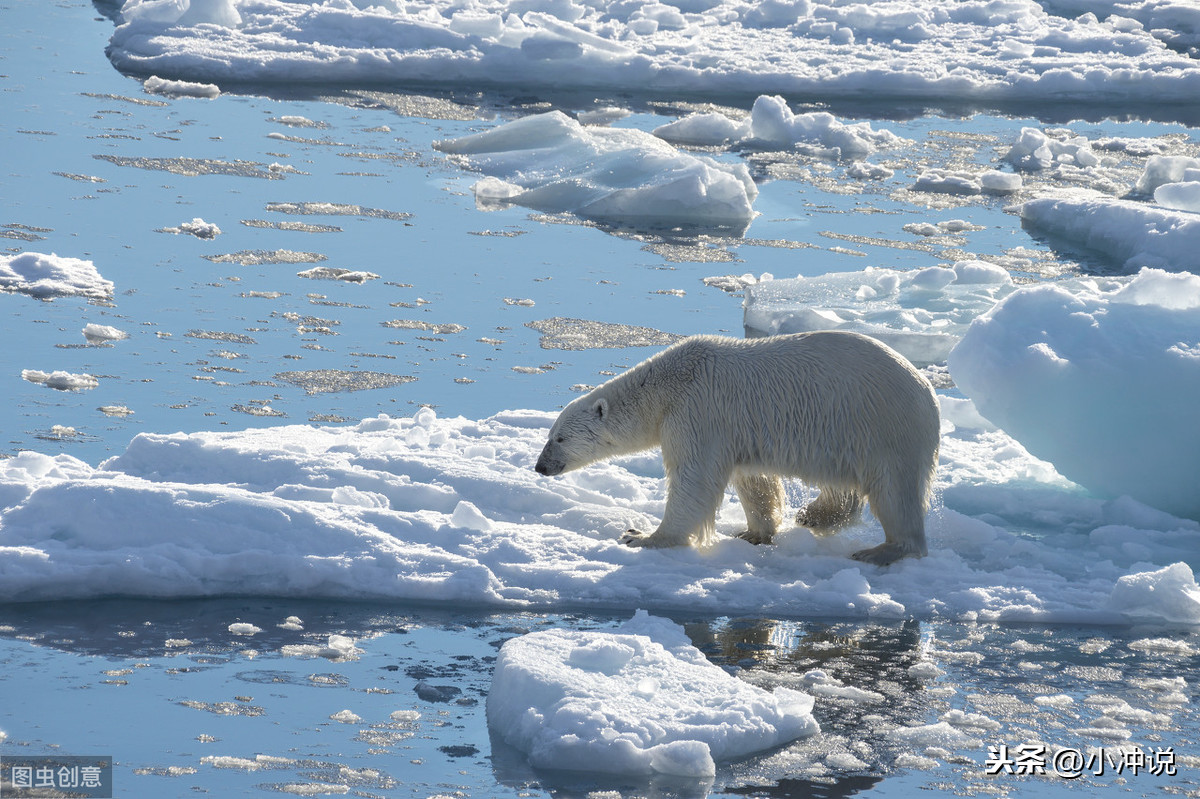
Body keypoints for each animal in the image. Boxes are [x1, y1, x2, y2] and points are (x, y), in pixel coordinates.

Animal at [535, 333, 936, 563]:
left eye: (559, 438)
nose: (541, 466)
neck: (667, 385)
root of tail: (928, 390)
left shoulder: (697, 410)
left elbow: (693, 480)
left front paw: (642, 536)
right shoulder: (736, 429)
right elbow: (753, 480)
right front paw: (753, 533)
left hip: (883, 428)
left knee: (894, 493)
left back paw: (880, 550)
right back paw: (815, 515)